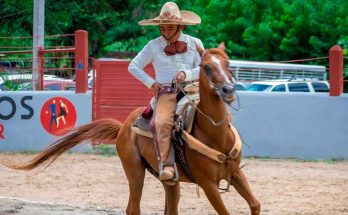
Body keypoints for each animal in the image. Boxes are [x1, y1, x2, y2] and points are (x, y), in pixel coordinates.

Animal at [2, 44, 258, 215]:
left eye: (227, 63)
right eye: (206, 66)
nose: (228, 90)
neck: (214, 134)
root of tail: (124, 127)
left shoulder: (236, 173)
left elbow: (255, 204)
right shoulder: (208, 184)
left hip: (169, 180)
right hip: (134, 171)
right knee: (133, 208)